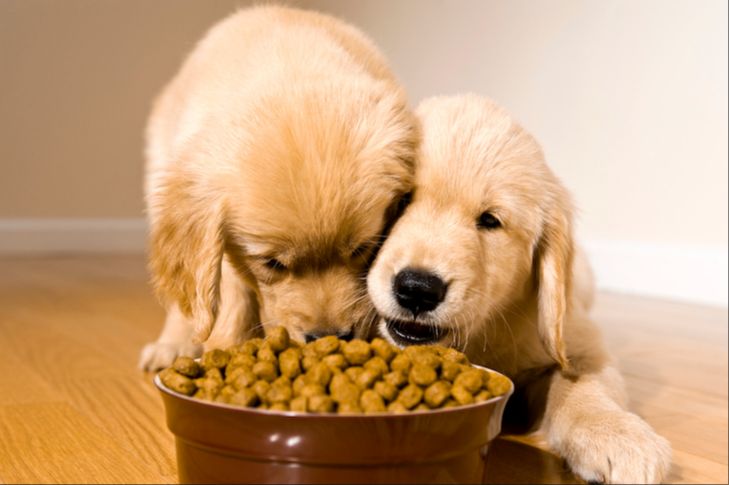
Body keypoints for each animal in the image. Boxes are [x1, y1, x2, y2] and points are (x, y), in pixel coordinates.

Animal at [139, 4, 416, 370]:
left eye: (362, 249)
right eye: (272, 264)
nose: (328, 336)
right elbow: (229, 297)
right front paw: (227, 347)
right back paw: (172, 344)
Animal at [370, 95, 672, 484]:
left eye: (490, 220)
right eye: (402, 200)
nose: (418, 289)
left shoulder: (576, 341)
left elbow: (581, 383)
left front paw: (615, 434)